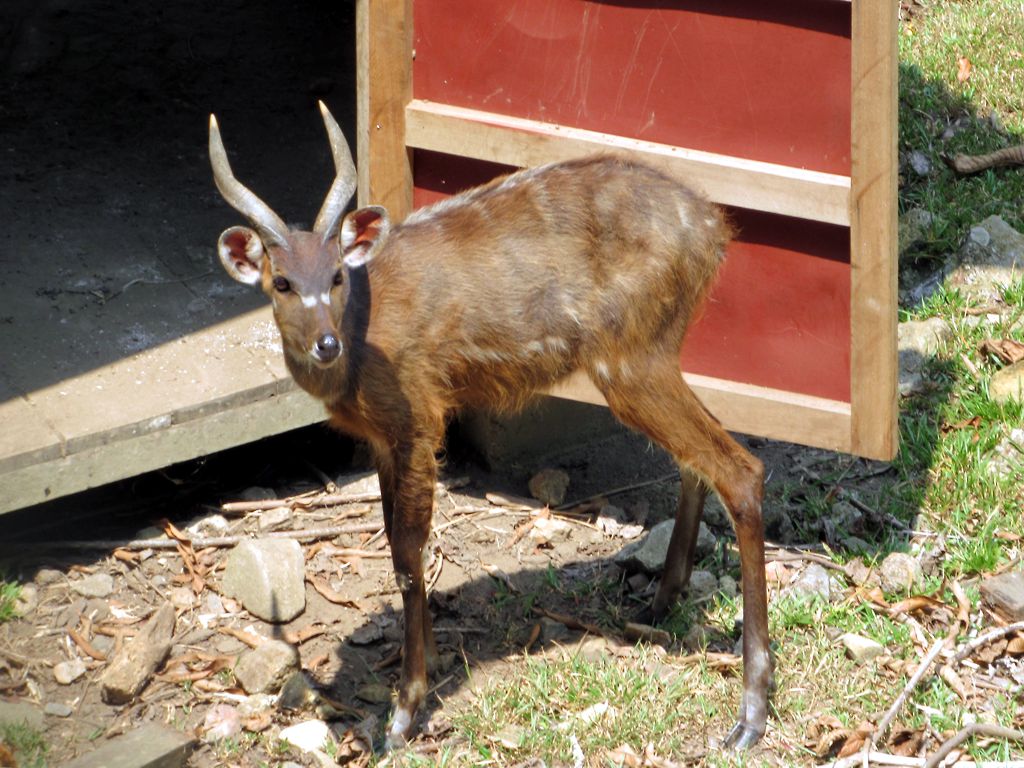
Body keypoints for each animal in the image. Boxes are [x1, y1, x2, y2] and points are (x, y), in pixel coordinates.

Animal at [209, 102, 771, 750]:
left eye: (335, 277)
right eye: (282, 282)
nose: (326, 344)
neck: (362, 342)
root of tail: (714, 227)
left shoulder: (421, 415)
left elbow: (407, 554)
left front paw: (405, 711)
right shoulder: (382, 439)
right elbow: (392, 538)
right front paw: (423, 666)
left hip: (631, 357)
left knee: (742, 468)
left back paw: (749, 716)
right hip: (654, 353)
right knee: (702, 456)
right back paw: (660, 603)